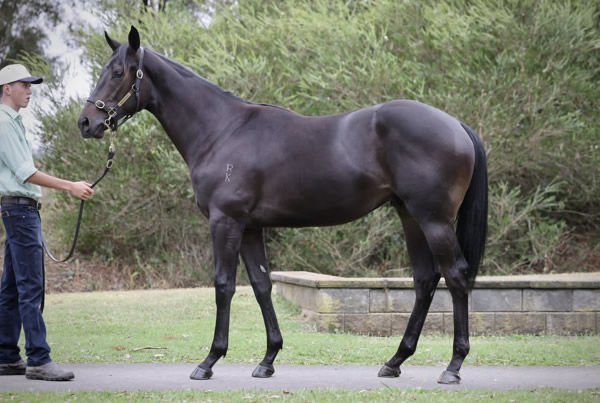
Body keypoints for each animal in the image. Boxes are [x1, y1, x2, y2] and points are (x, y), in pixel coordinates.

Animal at [77, 26, 488, 386]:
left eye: (118, 72)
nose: (86, 123)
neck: (222, 131)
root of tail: (456, 124)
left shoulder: (225, 222)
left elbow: (224, 285)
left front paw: (209, 361)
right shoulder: (250, 227)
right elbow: (261, 284)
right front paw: (268, 359)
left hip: (434, 220)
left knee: (455, 277)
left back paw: (452, 367)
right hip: (409, 215)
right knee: (425, 280)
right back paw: (395, 361)